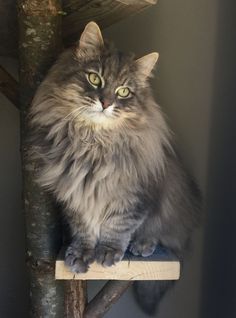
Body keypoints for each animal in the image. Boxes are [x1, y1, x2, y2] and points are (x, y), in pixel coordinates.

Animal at [29, 21, 201, 314]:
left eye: (123, 92)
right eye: (94, 79)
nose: (106, 103)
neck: (93, 144)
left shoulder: (134, 195)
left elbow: (118, 226)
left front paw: (108, 252)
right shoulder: (74, 193)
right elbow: (84, 228)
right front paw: (81, 254)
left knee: (162, 235)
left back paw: (142, 245)